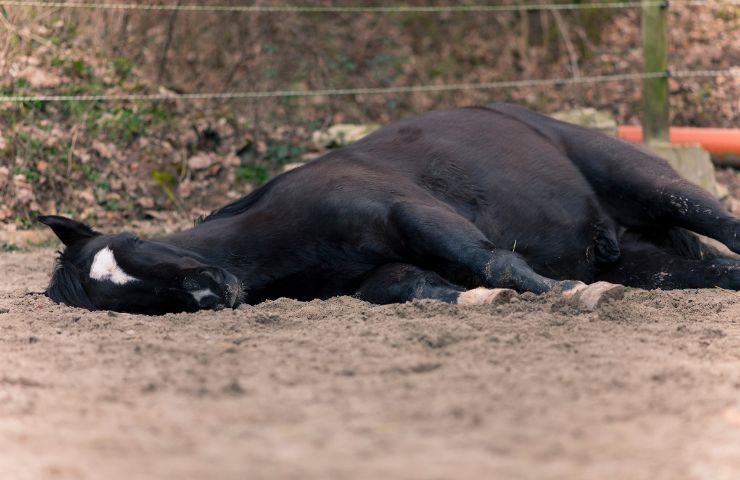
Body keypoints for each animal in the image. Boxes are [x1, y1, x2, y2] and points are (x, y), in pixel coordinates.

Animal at [40, 104, 740, 316]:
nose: (213, 290)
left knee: (725, 225)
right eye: (126, 297)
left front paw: (569, 292)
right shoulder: (380, 277)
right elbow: (425, 287)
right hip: (649, 261)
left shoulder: (413, 213)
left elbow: (494, 262)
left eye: (135, 247)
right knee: (718, 270)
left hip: (651, 182)